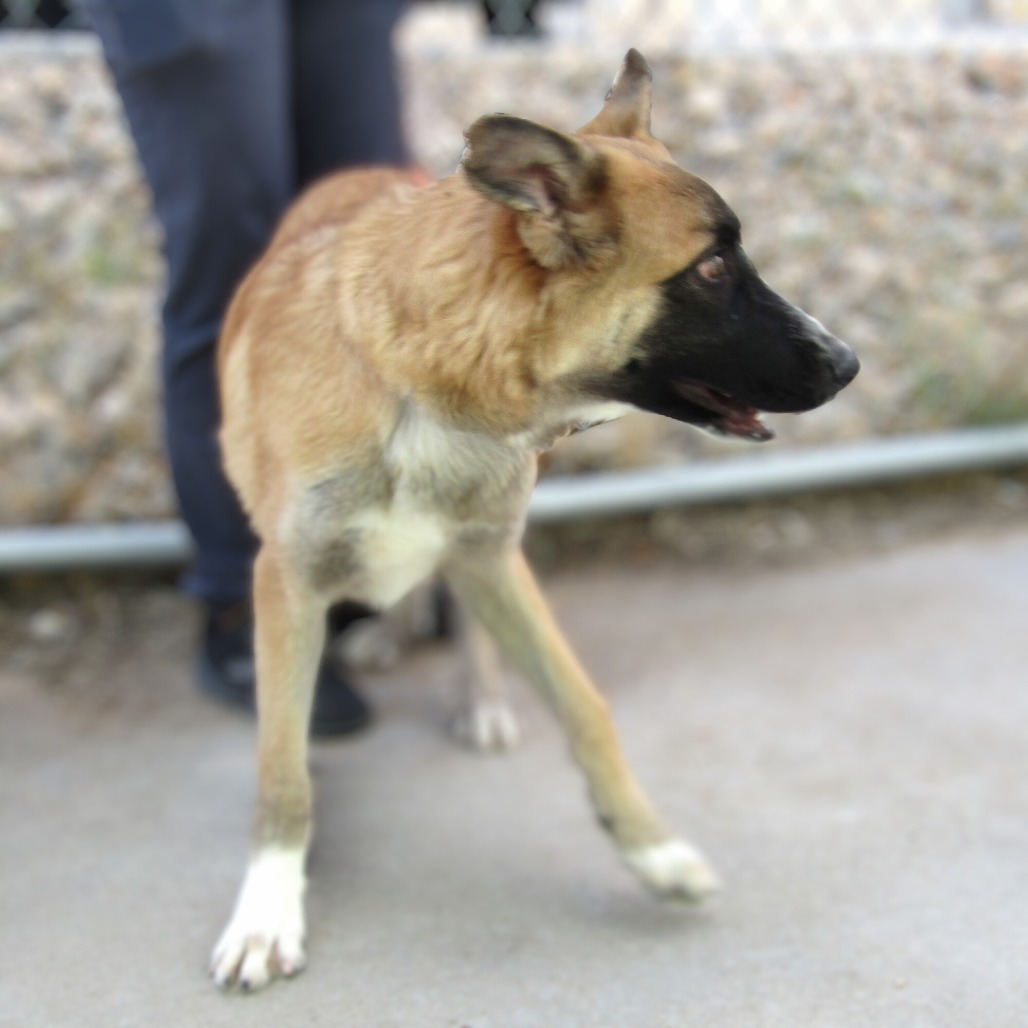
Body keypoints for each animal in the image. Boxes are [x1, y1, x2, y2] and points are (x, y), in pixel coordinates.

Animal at [208, 48, 859, 986]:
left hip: (487, 558)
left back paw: (476, 694)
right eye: (711, 268)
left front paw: (652, 851)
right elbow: (281, 763)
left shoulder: (491, 557)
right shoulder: (284, 582)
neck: (418, 389)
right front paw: (266, 909)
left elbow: (586, 709)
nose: (849, 363)